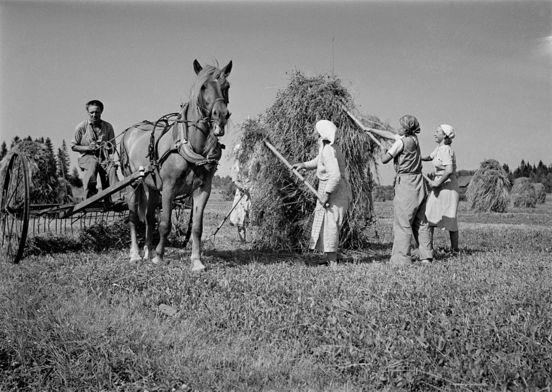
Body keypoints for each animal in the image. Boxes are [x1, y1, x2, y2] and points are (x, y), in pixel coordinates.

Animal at [119, 59, 232, 272]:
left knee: (148, 218)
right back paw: (135, 255)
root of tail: (131, 131)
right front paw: (159, 257)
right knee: (133, 218)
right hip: (133, 184)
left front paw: (196, 261)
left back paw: (147, 251)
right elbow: (164, 224)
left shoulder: (203, 188)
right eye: (203, 86)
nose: (221, 115)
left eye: (226, 86)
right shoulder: (169, 187)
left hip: (151, 187)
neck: (187, 145)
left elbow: (197, 227)